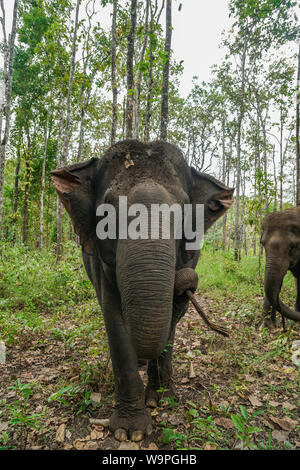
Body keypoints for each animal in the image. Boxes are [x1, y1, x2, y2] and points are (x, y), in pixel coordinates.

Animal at [51, 139, 234, 440]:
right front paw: (130, 431)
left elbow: (169, 320)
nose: (186, 285)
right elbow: (114, 317)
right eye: (106, 211)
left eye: (184, 209)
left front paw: (161, 400)